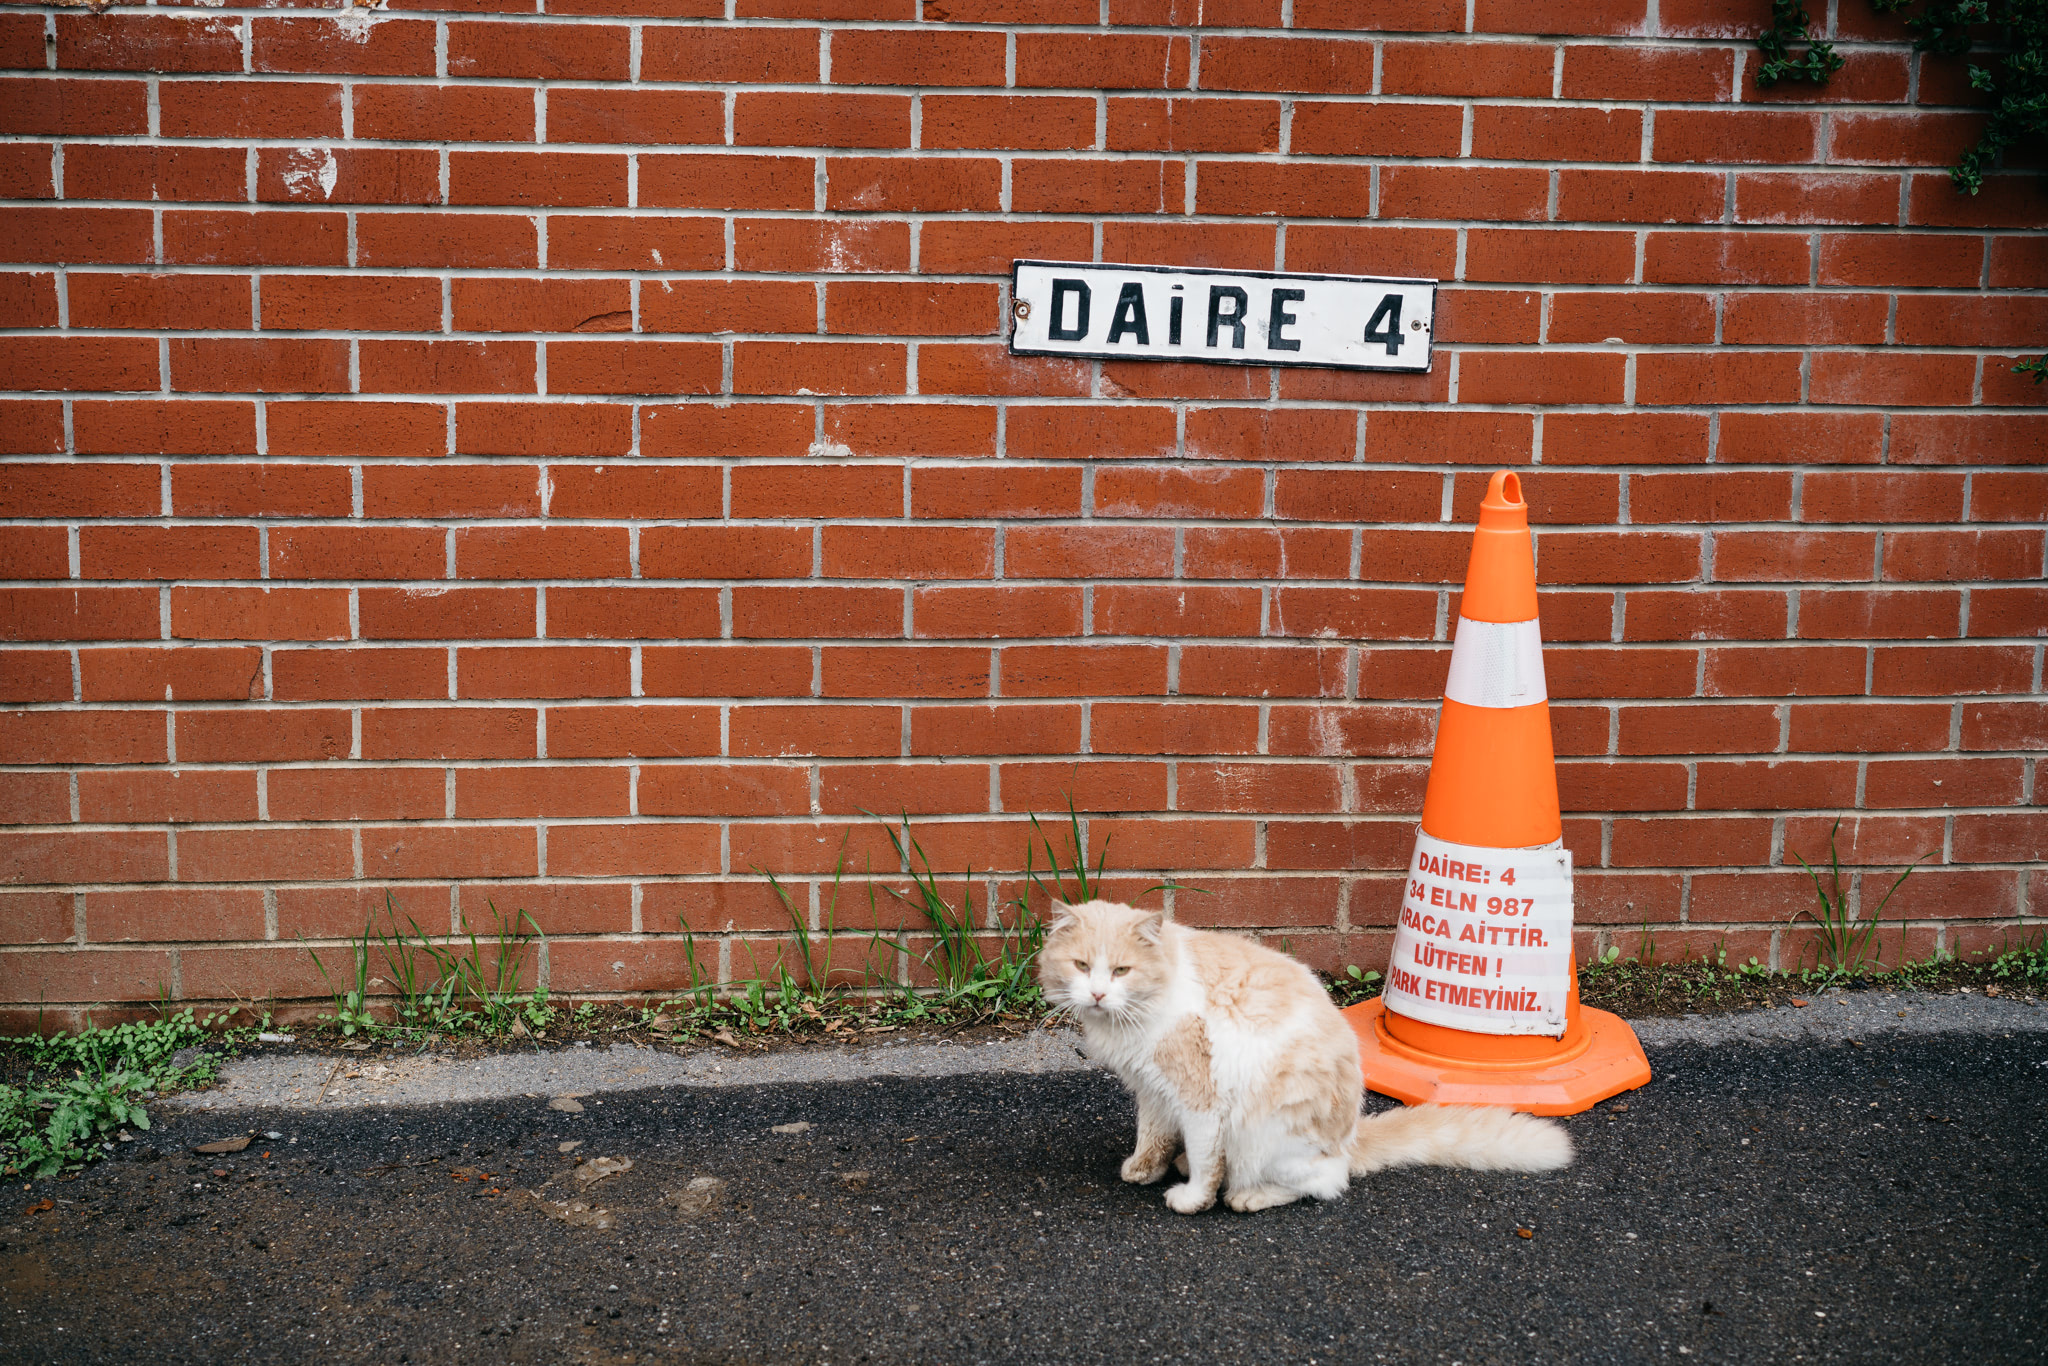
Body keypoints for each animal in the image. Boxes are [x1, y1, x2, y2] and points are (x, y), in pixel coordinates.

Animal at [1048, 901, 1572, 1212]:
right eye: (1081, 966)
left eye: (1121, 971)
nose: (1097, 994)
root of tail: (1351, 1137)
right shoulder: (1154, 1090)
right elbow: (1152, 1136)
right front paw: (1145, 1168)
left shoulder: (1201, 1103)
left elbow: (1205, 1160)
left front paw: (1193, 1198)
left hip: (1263, 1133)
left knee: (1323, 1182)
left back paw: (1249, 1196)